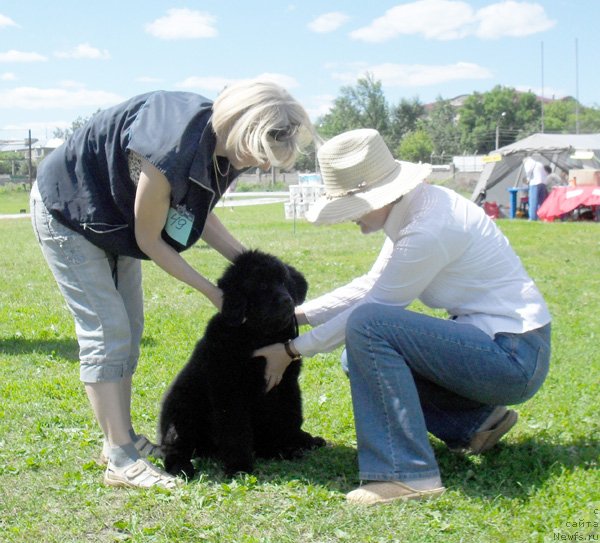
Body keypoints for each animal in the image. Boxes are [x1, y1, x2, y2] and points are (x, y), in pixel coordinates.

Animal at [159, 249, 326, 478]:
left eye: (284, 281)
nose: (287, 300)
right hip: (182, 411)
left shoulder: (286, 383)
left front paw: (287, 447)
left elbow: (288, 416)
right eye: (261, 286)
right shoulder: (230, 391)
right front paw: (239, 467)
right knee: (175, 446)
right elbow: (235, 430)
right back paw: (181, 467)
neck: (259, 336)